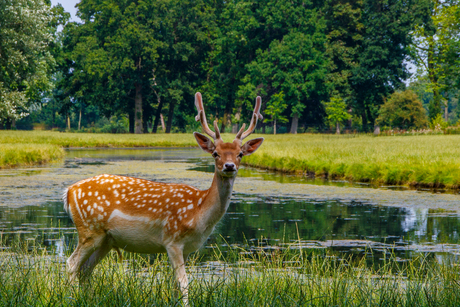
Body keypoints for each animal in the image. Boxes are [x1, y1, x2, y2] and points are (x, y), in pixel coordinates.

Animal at [63, 92, 264, 304]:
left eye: (240, 154)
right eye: (215, 153)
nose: (229, 166)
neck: (198, 212)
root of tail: (69, 191)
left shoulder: (185, 248)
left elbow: (176, 285)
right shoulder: (172, 240)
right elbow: (183, 283)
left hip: (106, 239)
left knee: (85, 269)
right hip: (89, 229)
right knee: (71, 264)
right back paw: (72, 298)